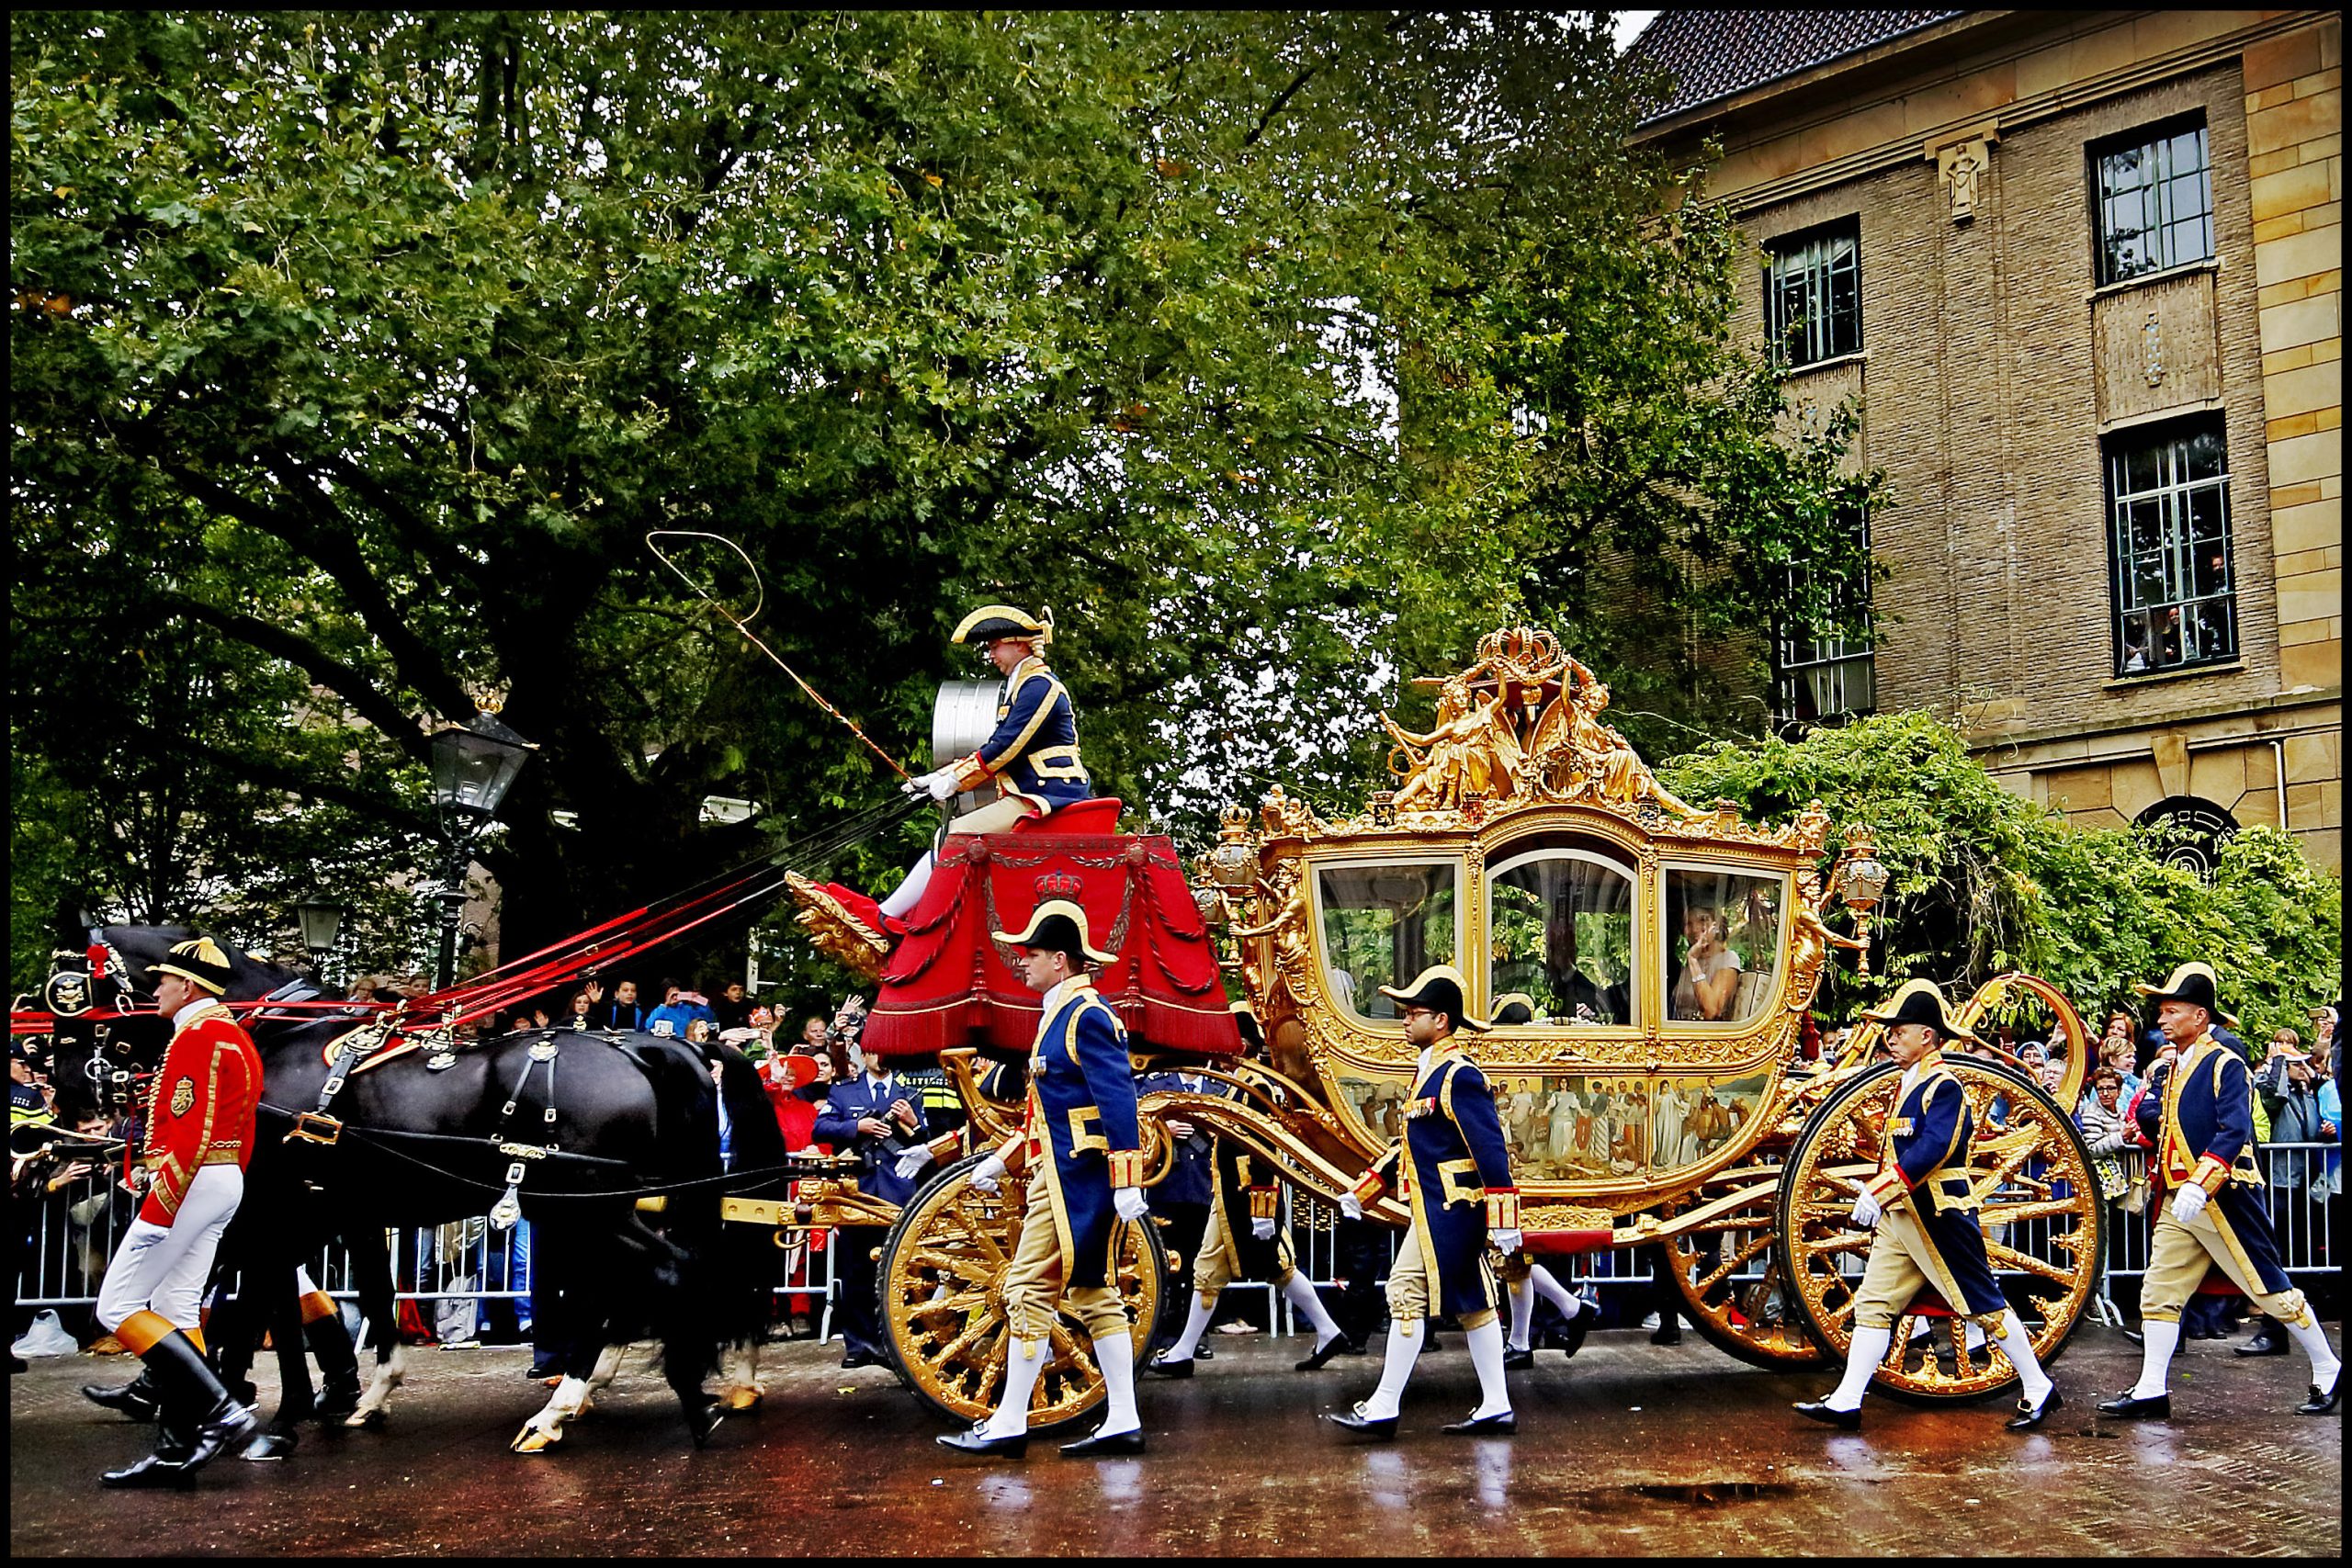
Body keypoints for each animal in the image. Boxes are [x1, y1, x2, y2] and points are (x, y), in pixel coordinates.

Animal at [71, 926, 790, 1457]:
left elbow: (256, 1300)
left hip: (589, 1207)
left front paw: (272, 1410)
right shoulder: (346, 1212)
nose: (83, 1085)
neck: (275, 1041)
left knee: (663, 1275)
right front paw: (360, 1393)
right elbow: (360, 1295)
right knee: (645, 1283)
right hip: (604, 1208)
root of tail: (652, 1048)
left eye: (71, 986)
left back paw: (601, 1406)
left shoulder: (276, 1207)